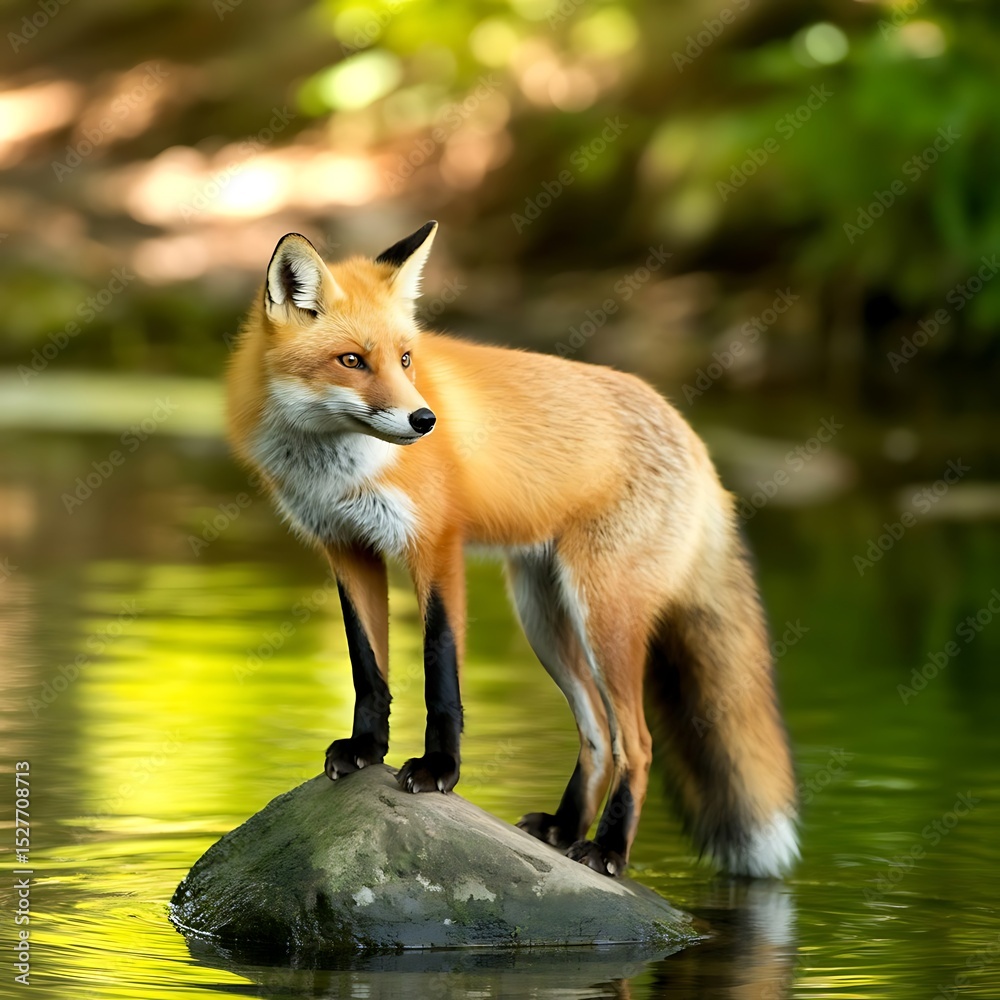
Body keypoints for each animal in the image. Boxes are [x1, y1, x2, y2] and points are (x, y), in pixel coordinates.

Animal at [226, 221, 799, 879]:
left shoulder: (436, 545)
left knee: (638, 741)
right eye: (352, 361)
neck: (334, 466)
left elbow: (439, 670)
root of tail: (692, 437)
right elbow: (368, 667)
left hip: (602, 615)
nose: (425, 420)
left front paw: (439, 770)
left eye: (405, 359)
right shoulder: (346, 547)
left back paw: (607, 849)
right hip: (545, 617)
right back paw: (565, 829)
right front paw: (367, 750)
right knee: (597, 734)